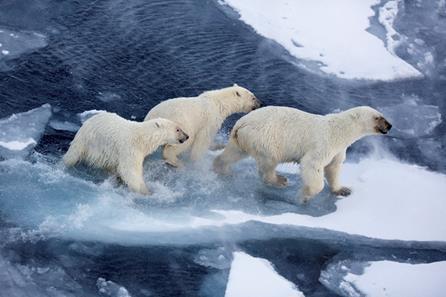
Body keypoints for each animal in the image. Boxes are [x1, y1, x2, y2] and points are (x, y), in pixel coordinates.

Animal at [214, 106, 392, 204]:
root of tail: (241, 123)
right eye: (378, 117)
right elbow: (312, 165)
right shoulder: (324, 142)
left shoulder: (337, 149)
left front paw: (343, 190)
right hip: (265, 138)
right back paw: (280, 180)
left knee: (234, 153)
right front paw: (303, 197)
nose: (389, 126)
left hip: (242, 139)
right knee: (269, 162)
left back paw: (221, 168)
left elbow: (333, 168)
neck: (340, 130)